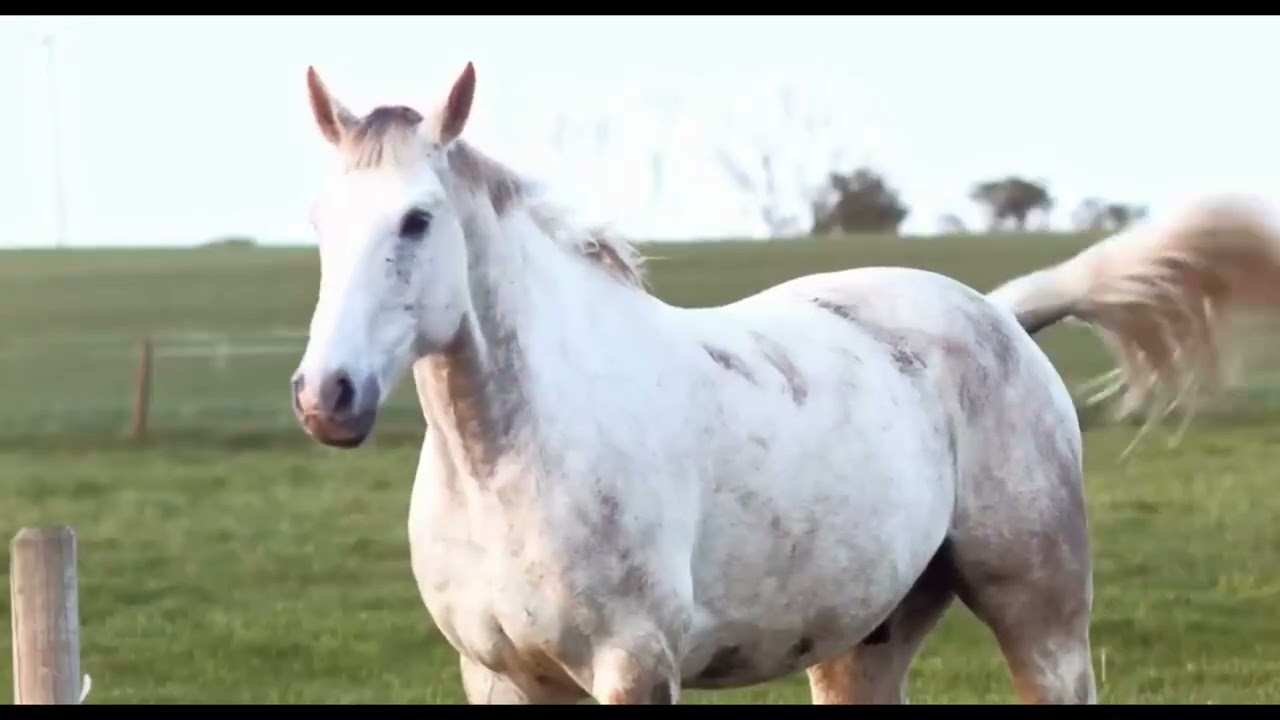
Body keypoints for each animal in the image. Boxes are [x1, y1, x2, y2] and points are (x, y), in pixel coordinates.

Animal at [288, 62, 1280, 704]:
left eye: (418, 220)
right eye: (320, 219)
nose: (325, 397)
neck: (515, 461)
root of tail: (998, 312)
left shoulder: (633, 667)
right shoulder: (499, 676)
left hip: (1042, 621)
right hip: (862, 645)